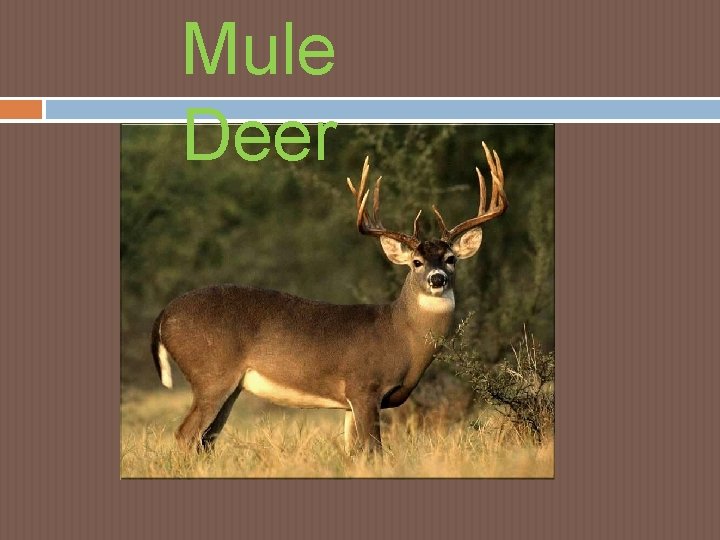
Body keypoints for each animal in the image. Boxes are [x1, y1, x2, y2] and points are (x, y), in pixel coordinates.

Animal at [150, 142, 508, 454]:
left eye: (451, 258)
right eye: (416, 262)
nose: (437, 279)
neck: (400, 337)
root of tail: (163, 316)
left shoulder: (350, 402)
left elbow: (354, 453)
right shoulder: (364, 386)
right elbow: (374, 451)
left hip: (230, 386)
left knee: (206, 440)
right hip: (211, 373)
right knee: (186, 435)